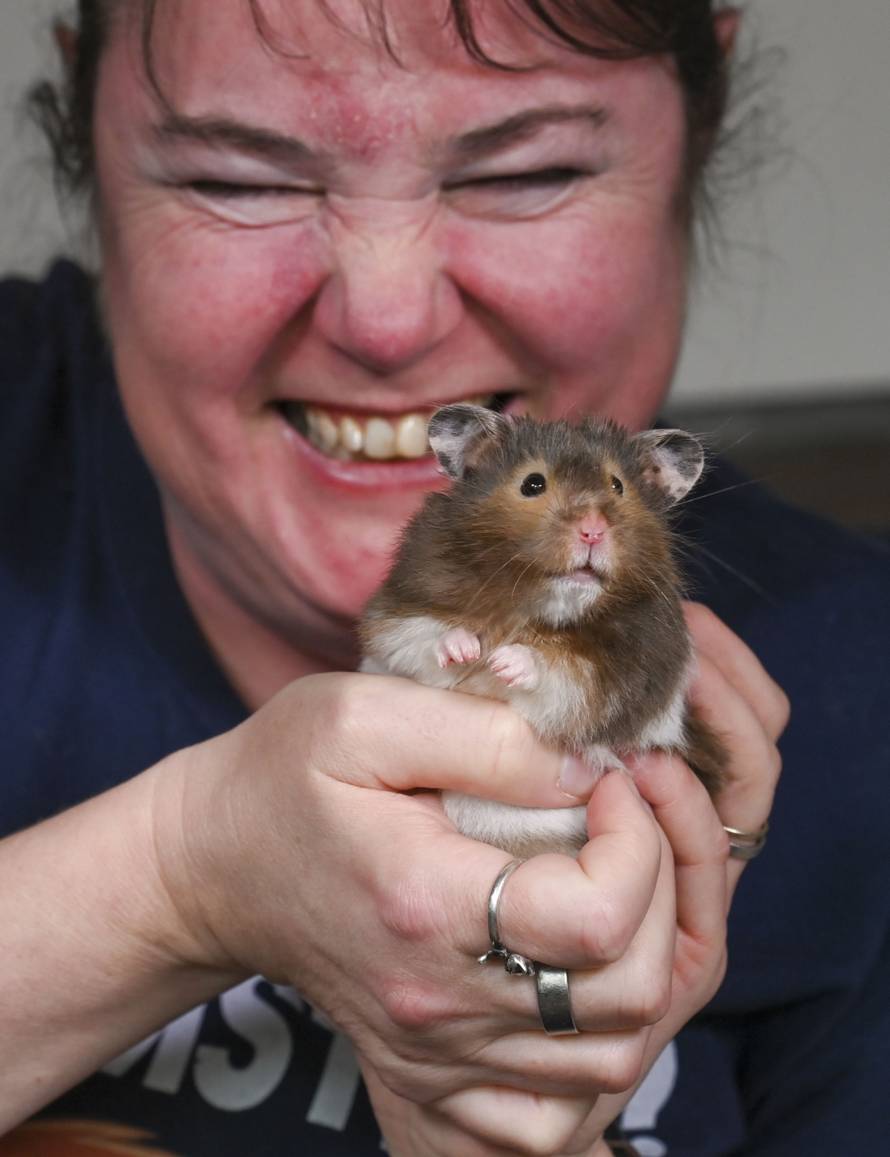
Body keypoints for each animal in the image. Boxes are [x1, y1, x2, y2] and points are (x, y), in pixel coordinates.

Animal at [359, 404, 727, 857]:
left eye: (618, 486)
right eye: (533, 483)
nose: (592, 531)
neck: (543, 603)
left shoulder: (626, 675)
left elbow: (564, 671)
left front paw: (503, 663)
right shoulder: (398, 610)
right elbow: (418, 634)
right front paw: (465, 650)